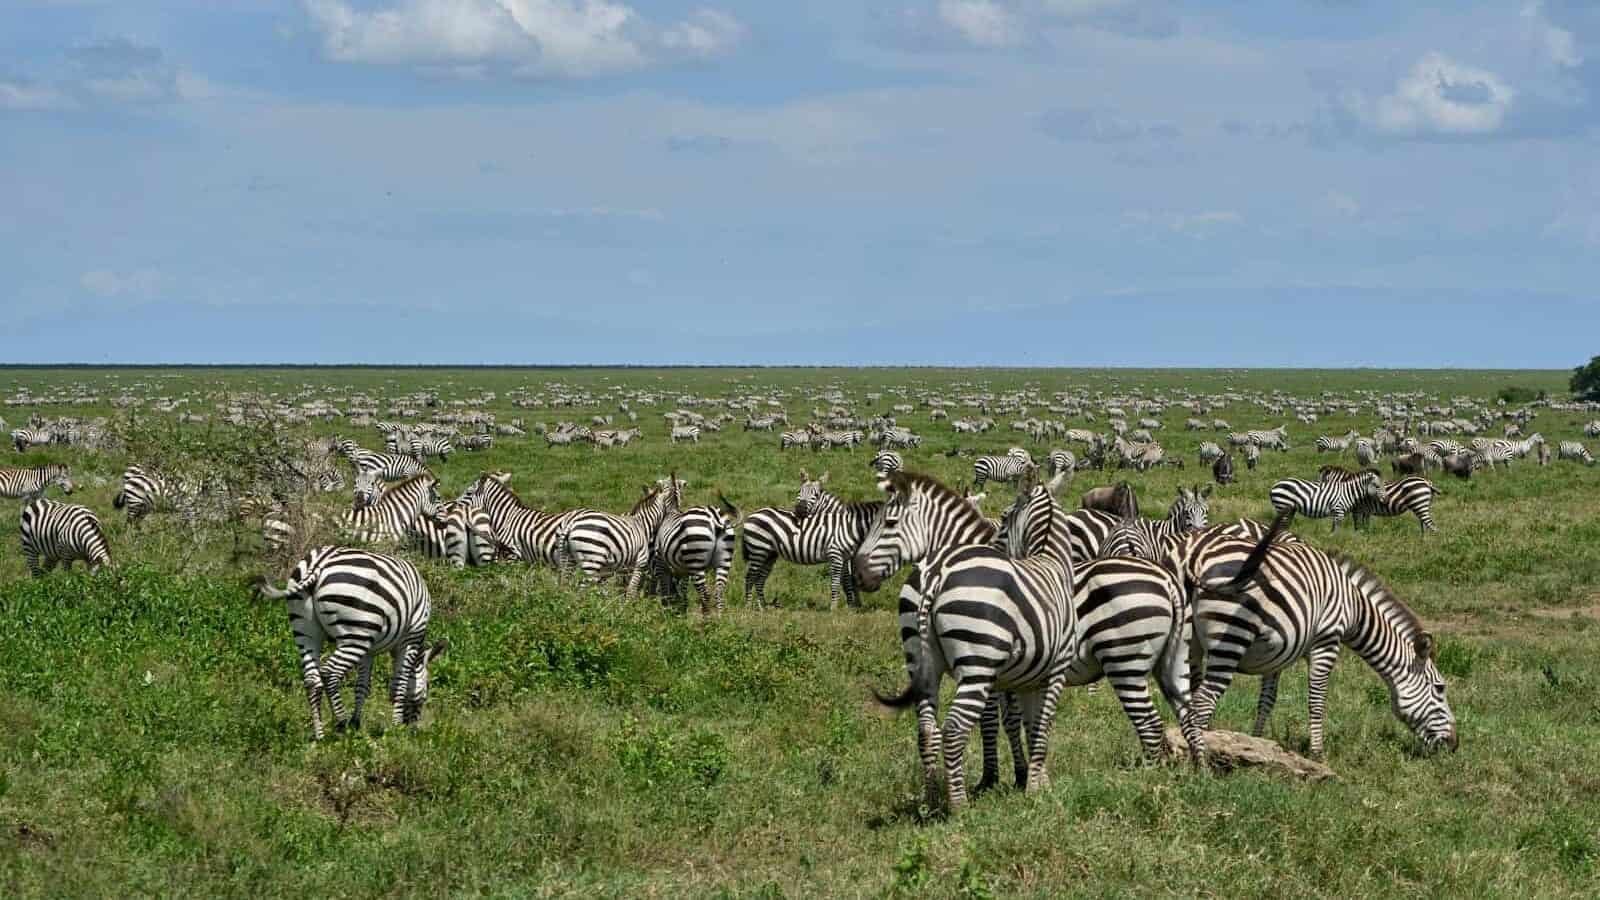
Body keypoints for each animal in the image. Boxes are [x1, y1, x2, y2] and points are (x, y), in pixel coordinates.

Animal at [254, 546, 446, 740]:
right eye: (426, 689)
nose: (413, 730)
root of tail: (320, 562)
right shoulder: (410, 638)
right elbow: (400, 684)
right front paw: (396, 728)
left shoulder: (369, 650)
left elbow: (362, 686)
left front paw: (356, 723)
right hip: (355, 635)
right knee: (329, 673)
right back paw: (341, 722)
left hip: (307, 631)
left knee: (312, 679)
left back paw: (320, 735)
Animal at [857, 468, 1077, 810]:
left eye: (889, 523)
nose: (857, 573)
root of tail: (934, 574)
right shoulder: (1036, 671)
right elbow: (1019, 722)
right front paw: (1015, 779)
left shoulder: (1018, 675)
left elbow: (1021, 722)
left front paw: (1024, 776)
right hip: (976, 662)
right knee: (954, 728)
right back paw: (959, 805)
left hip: (924, 663)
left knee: (928, 730)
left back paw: (933, 800)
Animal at [1165, 514, 1458, 757]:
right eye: (1440, 688)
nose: (1455, 745)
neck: (1355, 608)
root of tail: (1193, 554)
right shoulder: (1327, 641)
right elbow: (1317, 699)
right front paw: (1318, 752)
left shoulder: (1278, 651)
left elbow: (1267, 700)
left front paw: (1257, 743)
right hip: (1231, 635)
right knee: (1203, 702)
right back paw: (1205, 760)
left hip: (1189, 644)